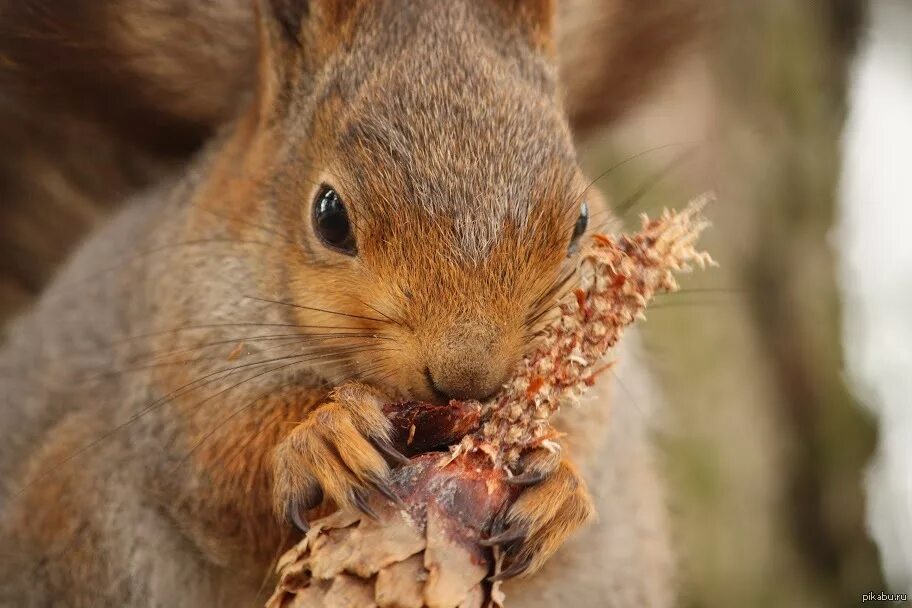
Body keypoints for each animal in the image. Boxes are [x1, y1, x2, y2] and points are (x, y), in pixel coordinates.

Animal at [0, 0, 704, 604]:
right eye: (329, 216)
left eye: (581, 220)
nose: (469, 377)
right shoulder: (175, 345)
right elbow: (220, 467)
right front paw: (322, 438)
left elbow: (589, 429)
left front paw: (560, 486)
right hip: (79, 515)